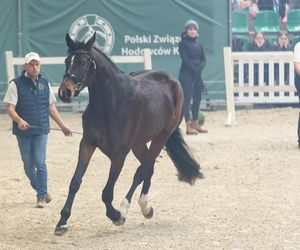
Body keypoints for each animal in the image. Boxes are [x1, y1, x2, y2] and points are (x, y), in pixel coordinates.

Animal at [55, 33, 203, 236]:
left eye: (83, 62)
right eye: (66, 61)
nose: (65, 92)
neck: (109, 103)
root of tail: (171, 80)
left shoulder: (120, 153)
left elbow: (107, 192)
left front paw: (116, 215)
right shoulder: (87, 144)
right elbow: (75, 182)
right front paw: (62, 222)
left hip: (161, 137)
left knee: (143, 169)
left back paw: (131, 207)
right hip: (138, 144)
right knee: (149, 167)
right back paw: (146, 208)